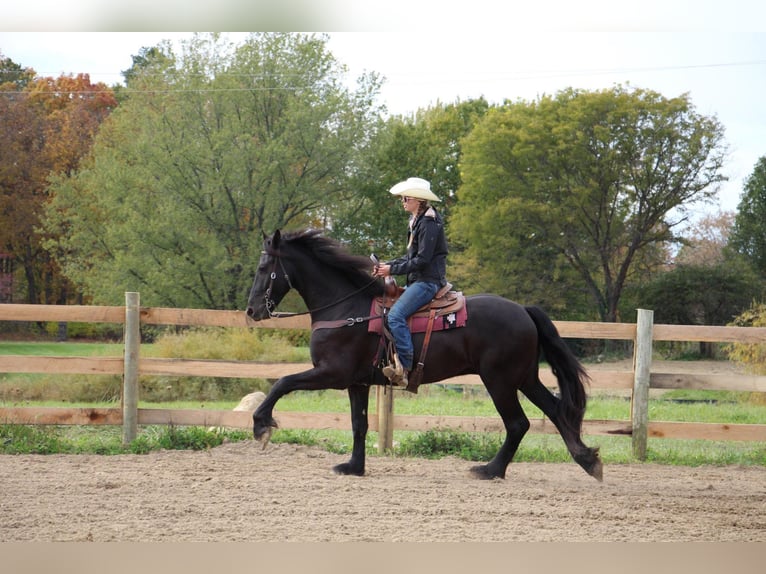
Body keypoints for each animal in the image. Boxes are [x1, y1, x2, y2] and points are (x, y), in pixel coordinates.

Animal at [249, 230, 604, 482]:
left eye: (264, 267)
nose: (252, 310)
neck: (347, 309)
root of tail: (524, 311)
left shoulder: (332, 373)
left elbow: (282, 382)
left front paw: (261, 426)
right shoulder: (357, 383)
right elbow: (359, 424)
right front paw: (354, 467)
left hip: (500, 381)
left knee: (518, 423)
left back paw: (490, 470)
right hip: (525, 378)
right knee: (556, 411)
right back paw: (587, 460)